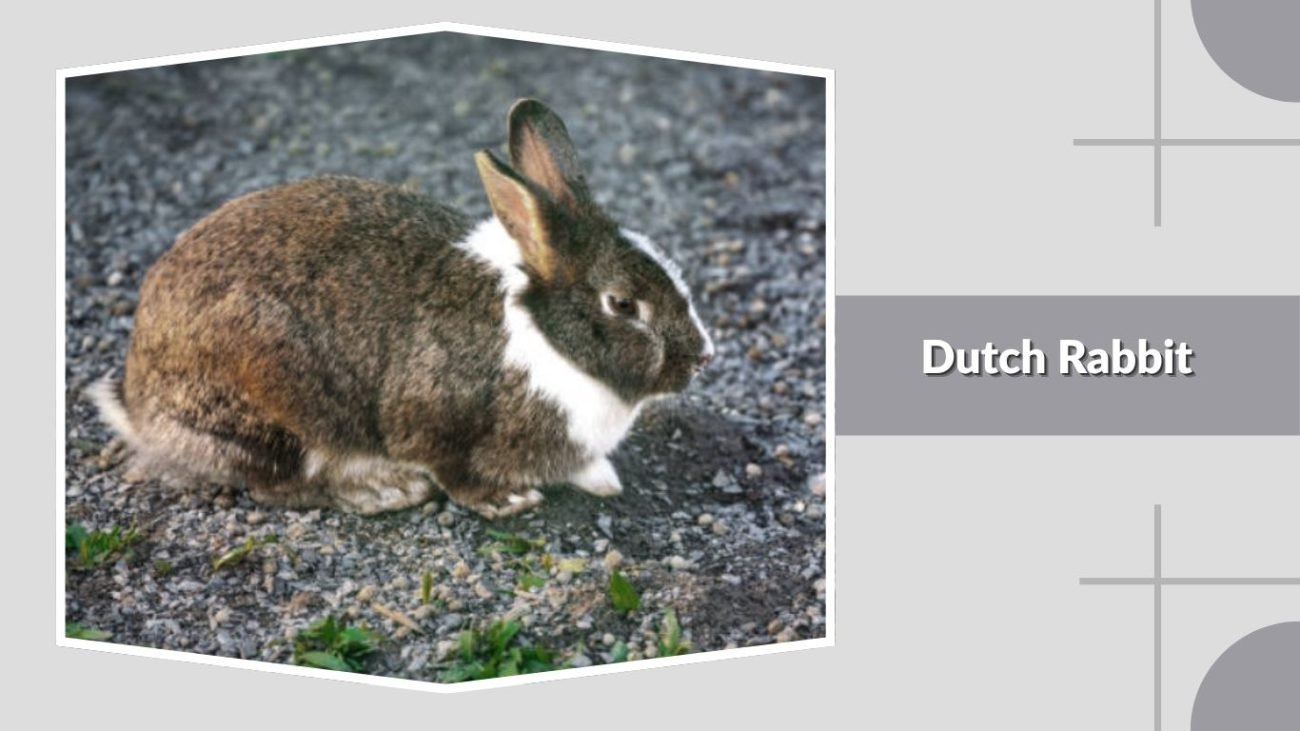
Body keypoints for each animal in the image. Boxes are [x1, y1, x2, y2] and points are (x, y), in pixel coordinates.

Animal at [88, 98, 714, 519]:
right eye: (623, 304)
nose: (703, 357)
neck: (546, 336)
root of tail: (138, 400)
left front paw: (602, 480)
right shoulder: (436, 419)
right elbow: (454, 469)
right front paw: (507, 500)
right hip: (270, 407)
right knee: (282, 483)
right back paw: (385, 490)